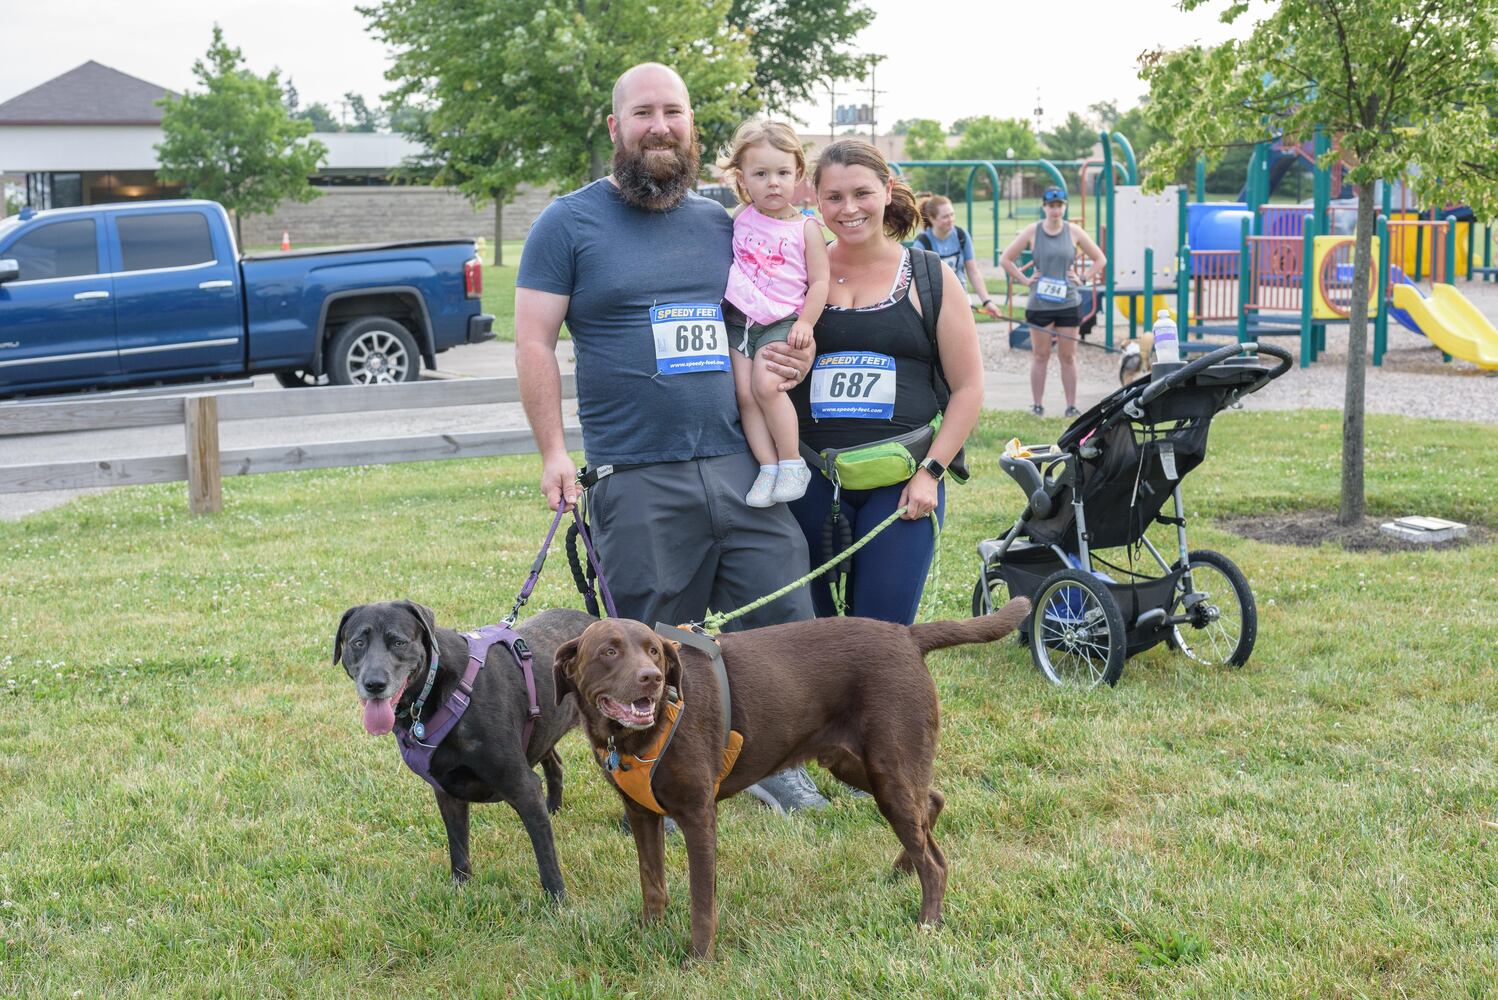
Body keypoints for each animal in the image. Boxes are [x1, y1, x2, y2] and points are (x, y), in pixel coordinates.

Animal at [337, 601, 593, 898]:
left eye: (399, 642)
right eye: (358, 643)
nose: (374, 684)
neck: (437, 691)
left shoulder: (523, 786)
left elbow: (545, 854)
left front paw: (558, 899)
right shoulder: (447, 792)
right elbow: (458, 847)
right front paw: (460, 890)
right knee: (555, 763)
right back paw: (554, 808)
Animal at [551, 598, 1030, 958]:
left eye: (653, 651)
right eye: (609, 652)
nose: (650, 679)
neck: (637, 736)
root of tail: (907, 634)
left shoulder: (698, 816)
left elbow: (702, 901)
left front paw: (698, 960)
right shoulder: (642, 814)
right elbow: (652, 883)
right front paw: (647, 935)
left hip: (890, 769)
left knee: (936, 860)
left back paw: (926, 923)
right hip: (861, 765)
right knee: (932, 801)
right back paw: (900, 871)